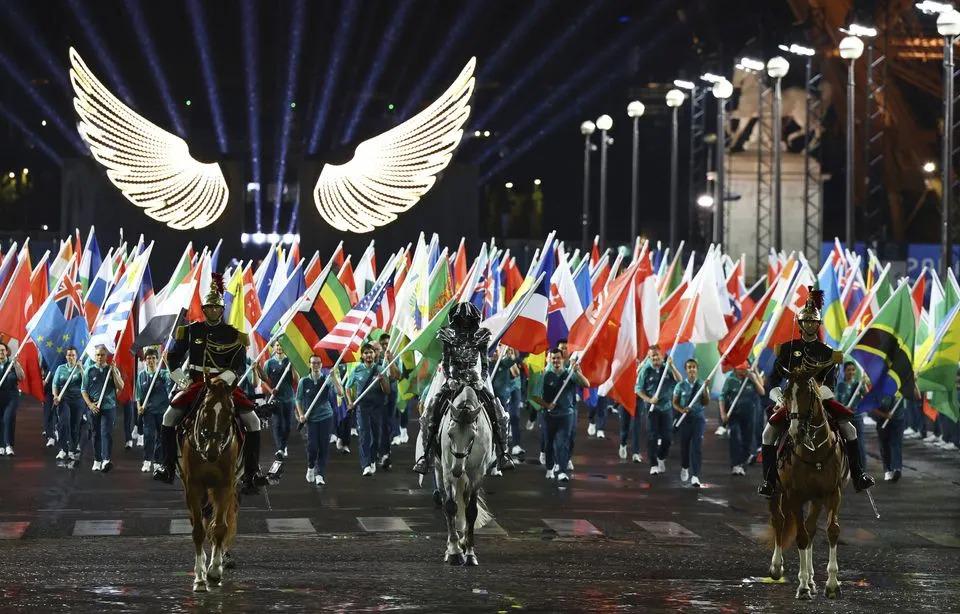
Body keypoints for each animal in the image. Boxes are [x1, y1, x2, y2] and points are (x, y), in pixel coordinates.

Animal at [178, 382, 242, 596]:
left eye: (230, 412)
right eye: (205, 410)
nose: (212, 451)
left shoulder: (225, 486)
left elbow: (220, 527)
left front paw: (214, 571)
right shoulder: (193, 487)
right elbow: (198, 530)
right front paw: (199, 578)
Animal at [768, 372, 844, 600]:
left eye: (807, 393)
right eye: (786, 394)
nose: (796, 431)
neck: (815, 453)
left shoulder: (832, 493)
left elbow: (832, 531)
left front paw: (832, 584)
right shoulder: (794, 496)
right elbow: (800, 537)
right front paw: (802, 587)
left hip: (816, 499)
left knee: (810, 528)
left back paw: (811, 578)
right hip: (776, 492)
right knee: (779, 521)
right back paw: (777, 567)